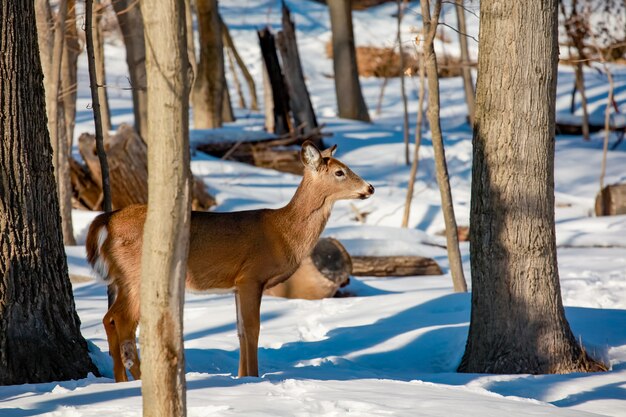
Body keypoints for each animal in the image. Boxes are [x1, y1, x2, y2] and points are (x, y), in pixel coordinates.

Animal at [85, 141, 372, 382]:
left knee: (109, 318)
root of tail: (105, 221)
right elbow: (253, 328)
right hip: (137, 274)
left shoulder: (236, 285)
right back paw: (134, 380)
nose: (370, 187)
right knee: (122, 321)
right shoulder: (251, 276)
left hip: (123, 278)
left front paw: (242, 377)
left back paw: (124, 380)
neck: (283, 232)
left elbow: (240, 331)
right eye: (340, 172)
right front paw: (253, 378)